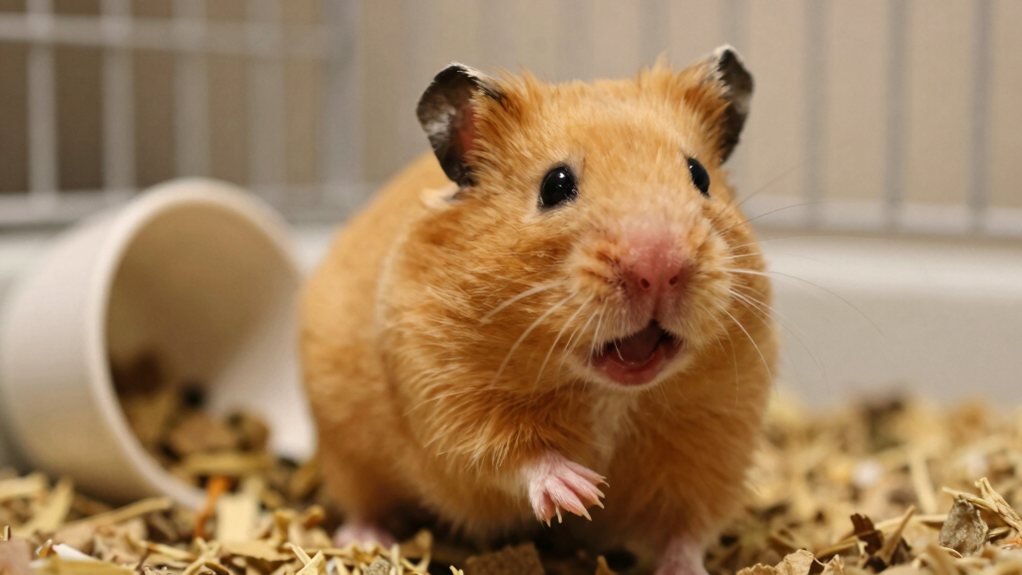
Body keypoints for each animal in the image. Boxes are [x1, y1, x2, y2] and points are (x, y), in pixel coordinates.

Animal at [300, 45, 776, 575]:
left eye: (700, 176)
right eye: (555, 185)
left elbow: (686, 529)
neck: (610, 393)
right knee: (362, 501)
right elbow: (512, 456)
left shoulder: (714, 438)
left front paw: (681, 565)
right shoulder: (449, 400)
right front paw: (581, 492)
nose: (658, 268)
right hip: (345, 449)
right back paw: (366, 538)